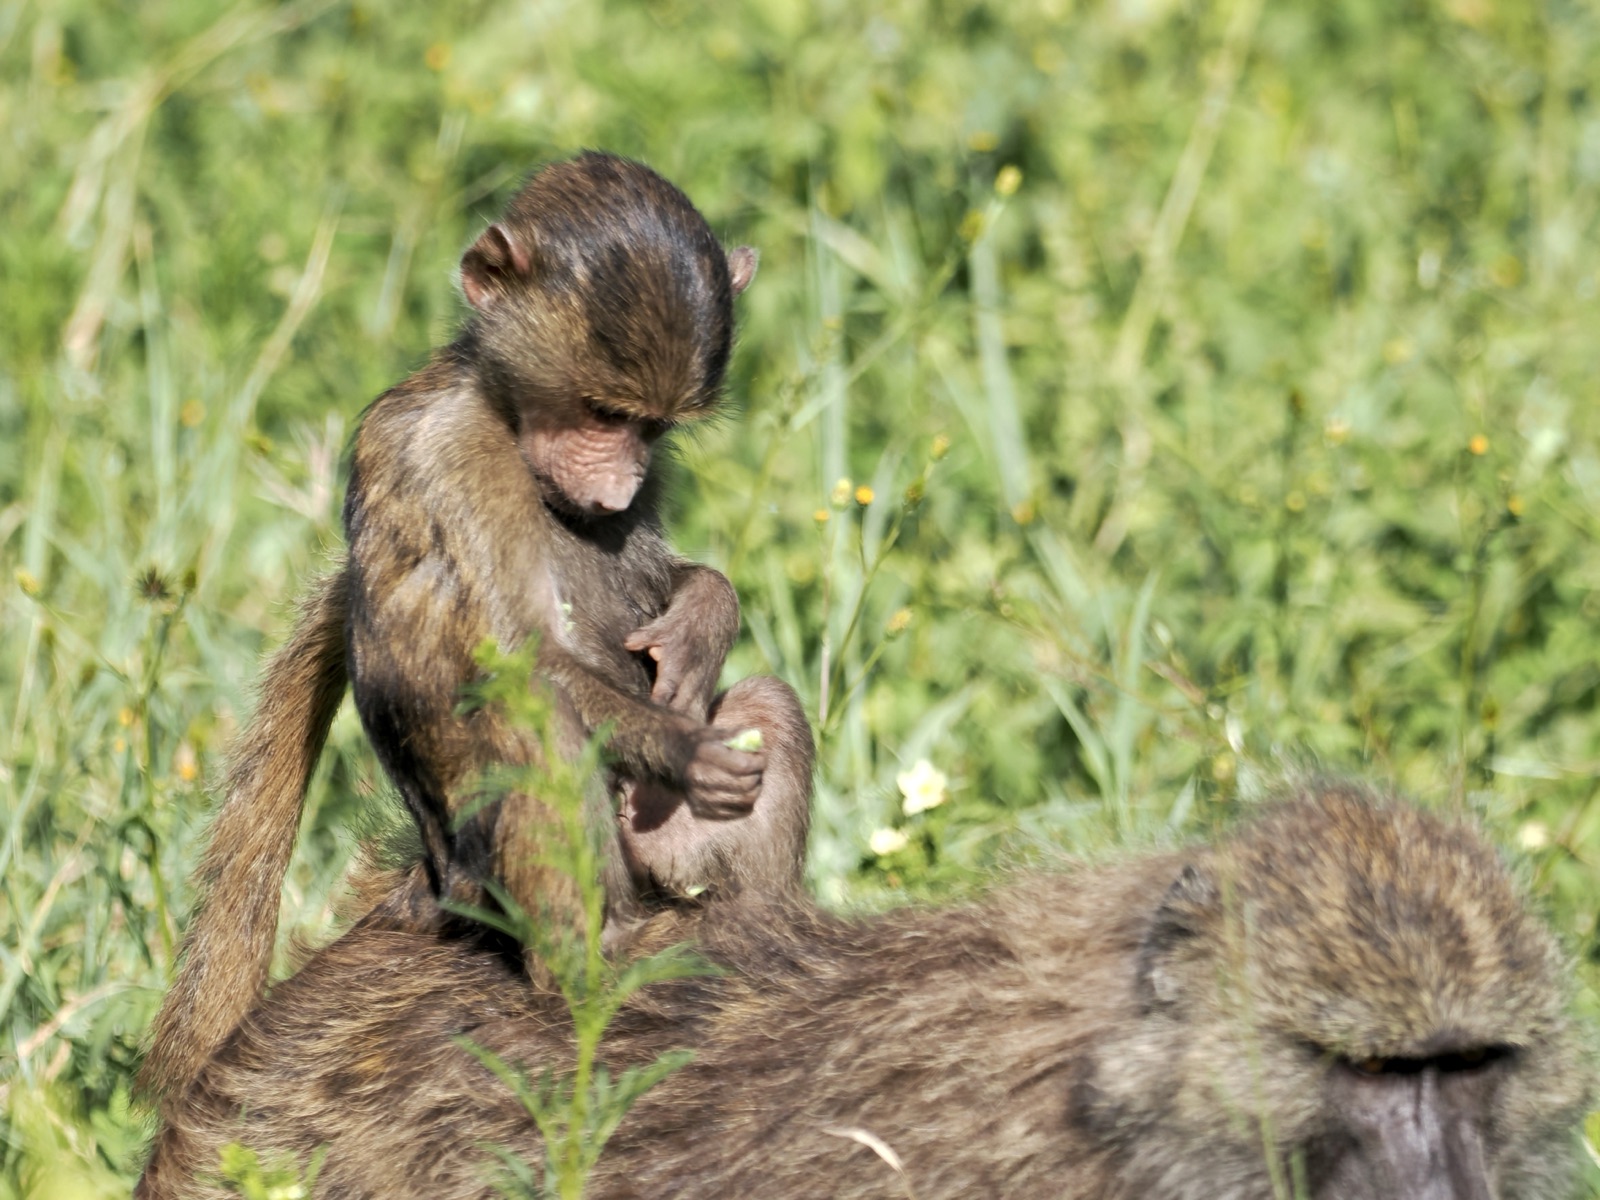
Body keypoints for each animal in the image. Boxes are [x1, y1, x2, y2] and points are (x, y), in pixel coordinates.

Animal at [137, 152, 815, 1105]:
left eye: (649, 426)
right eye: (599, 411)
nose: (615, 488)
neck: (498, 409)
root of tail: (428, 887)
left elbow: (661, 581)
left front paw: (700, 623)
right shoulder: (444, 452)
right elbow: (524, 658)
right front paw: (685, 749)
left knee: (769, 711)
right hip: (473, 886)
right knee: (531, 730)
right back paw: (592, 973)